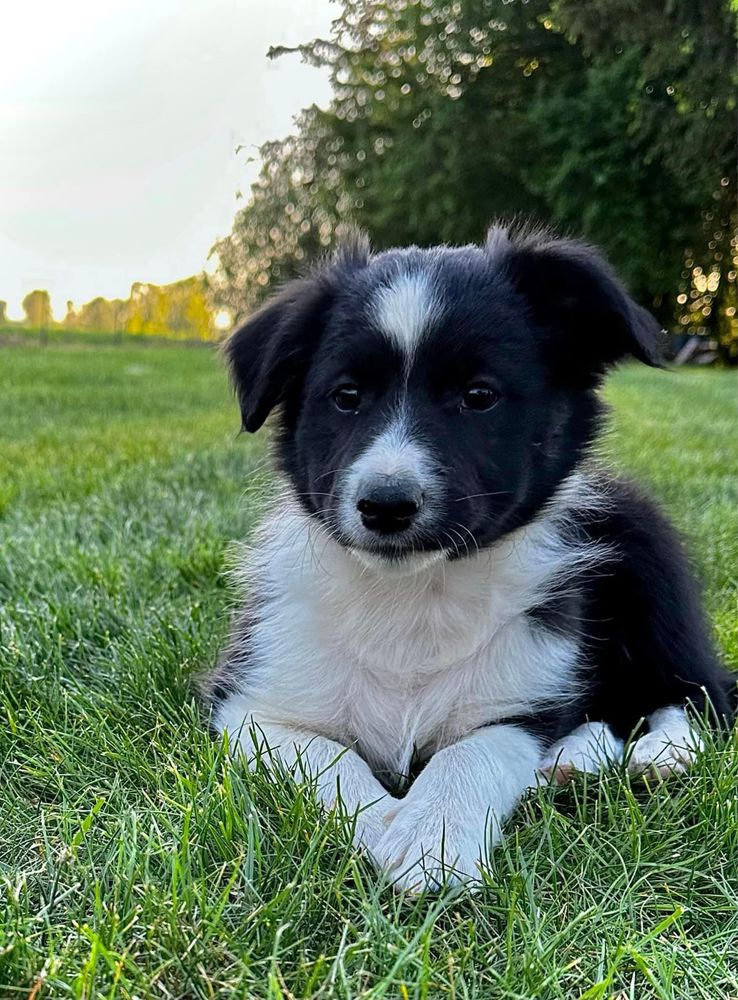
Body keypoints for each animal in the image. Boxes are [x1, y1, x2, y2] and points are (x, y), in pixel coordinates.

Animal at [200, 227, 732, 892]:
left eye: (479, 396)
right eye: (346, 397)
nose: (386, 504)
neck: (414, 595)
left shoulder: (523, 693)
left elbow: (474, 749)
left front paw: (433, 836)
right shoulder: (252, 701)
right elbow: (327, 756)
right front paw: (387, 823)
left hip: (648, 553)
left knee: (700, 692)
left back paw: (657, 754)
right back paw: (578, 756)